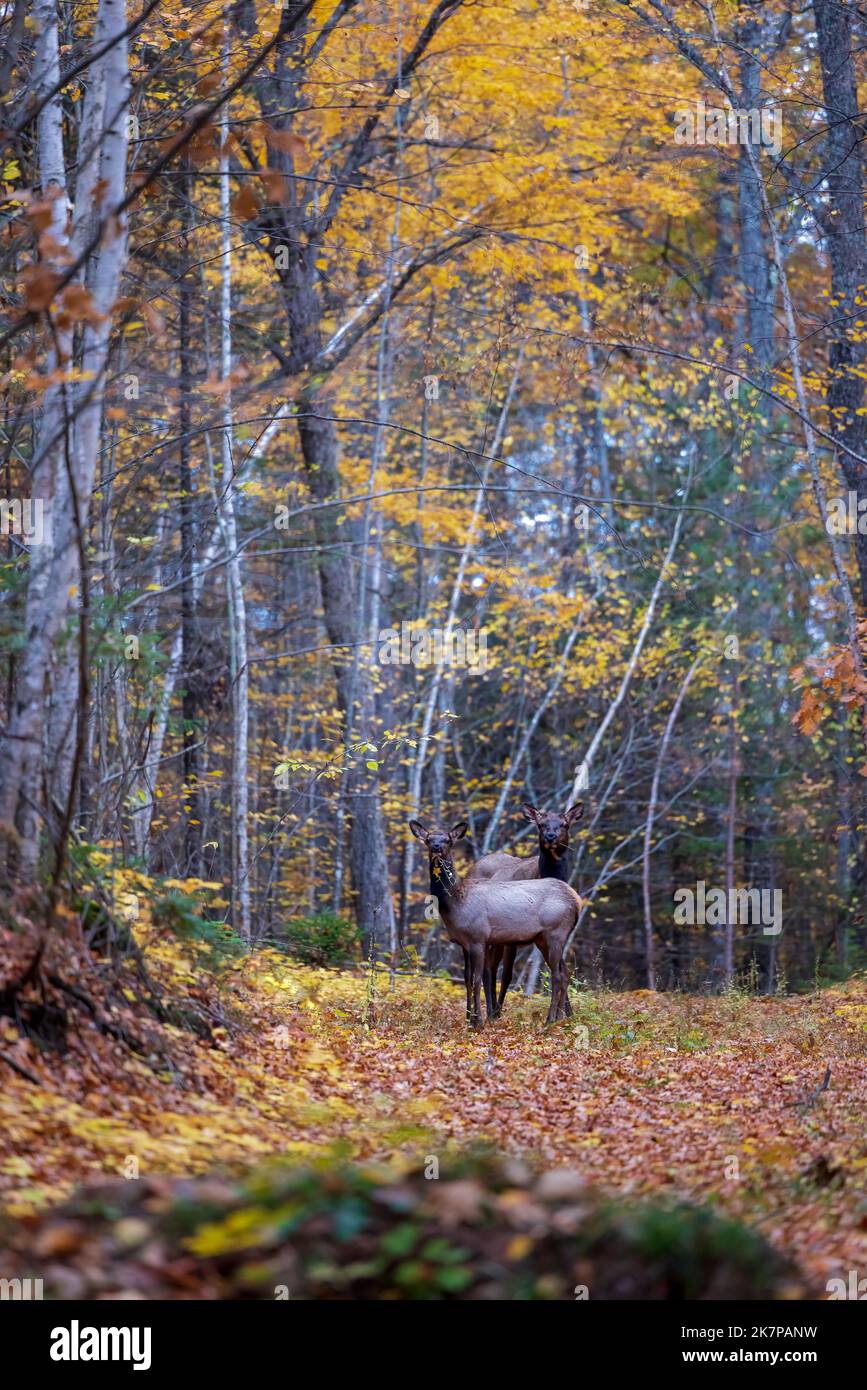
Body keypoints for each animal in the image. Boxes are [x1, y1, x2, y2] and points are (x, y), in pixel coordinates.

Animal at [466, 800, 583, 1017]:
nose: (550, 836)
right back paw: (491, 1011)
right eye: (541, 824)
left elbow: (561, 969)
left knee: (490, 966)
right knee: (489, 969)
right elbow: (507, 975)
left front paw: (568, 1013)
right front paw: (497, 1011)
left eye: (565, 824)